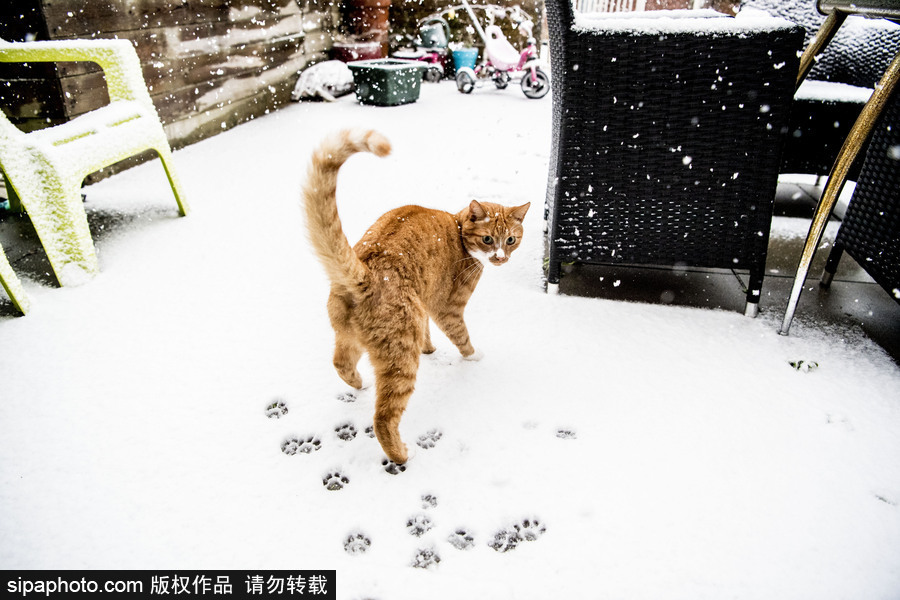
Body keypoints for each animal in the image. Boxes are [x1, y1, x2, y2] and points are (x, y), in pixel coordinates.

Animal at [302, 130, 528, 464]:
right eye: (488, 239)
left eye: (511, 240)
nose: (500, 258)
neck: (457, 227)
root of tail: (364, 272)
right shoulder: (446, 307)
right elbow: (461, 336)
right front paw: (474, 356)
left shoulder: (425, 305)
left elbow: (427, 332)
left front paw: (430, 348)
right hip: (400, 357)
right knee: (383, 417)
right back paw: (401, 455)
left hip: (349, 337)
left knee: (340, 363)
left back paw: (359, 384)